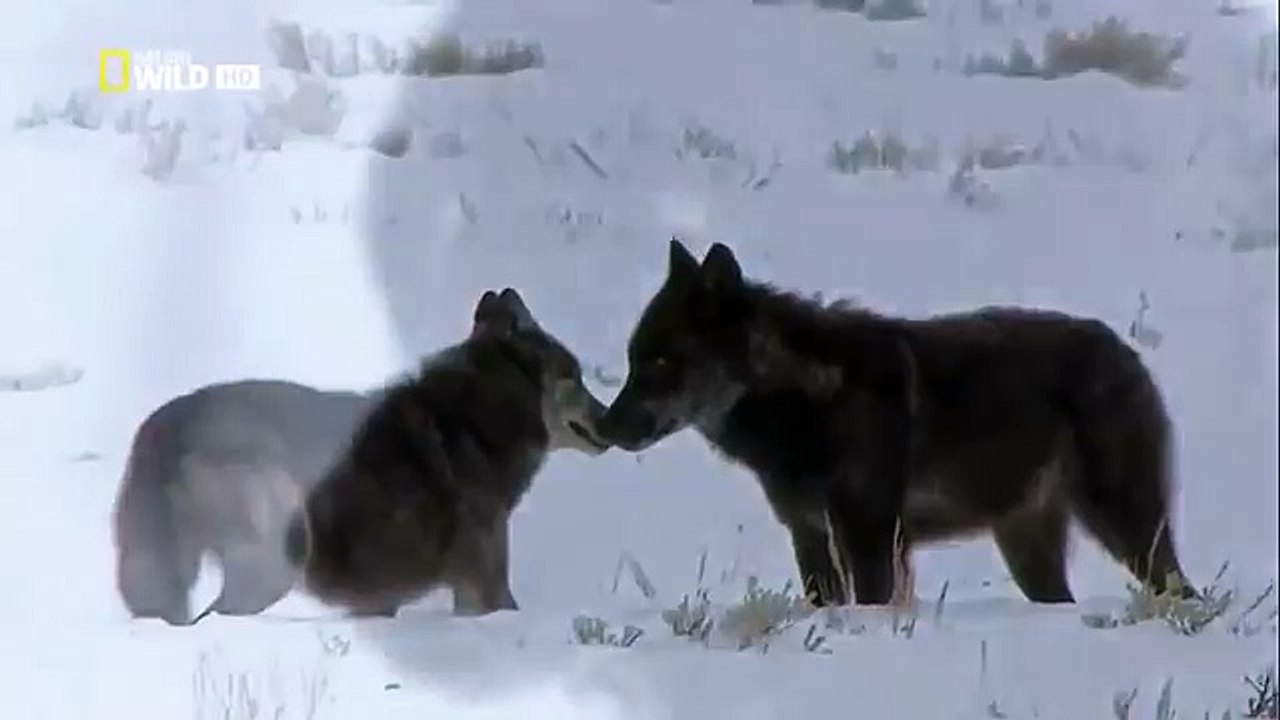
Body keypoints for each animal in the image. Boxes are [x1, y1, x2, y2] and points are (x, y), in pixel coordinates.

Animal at [598, 238, 1197, 608]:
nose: (604, 428)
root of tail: (1126, 350)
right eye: (632, 360)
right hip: (1029, 547)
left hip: (1126, 524)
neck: (806, 400)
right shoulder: (810, 536)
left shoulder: (870, 537)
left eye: (661, 363)